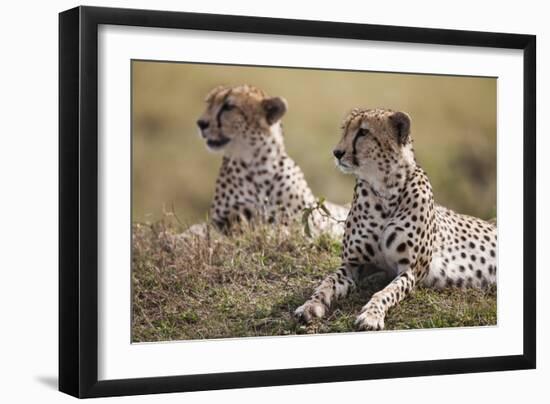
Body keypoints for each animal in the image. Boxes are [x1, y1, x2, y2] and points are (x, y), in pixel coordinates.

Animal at [195, 85, 350, 237]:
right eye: (208, 104)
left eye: (228, 107)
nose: (201, 123)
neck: (255, 162)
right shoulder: (223, 219)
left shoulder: (306, 220)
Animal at [298, 108, 500, 332]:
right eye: (345, 129)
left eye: (363, 132)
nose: (337, 152)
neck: (386, 191)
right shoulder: (353, 264)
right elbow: (327, 282)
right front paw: (310, 305)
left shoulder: (411, 269)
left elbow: (386, 293)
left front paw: (371, 315)